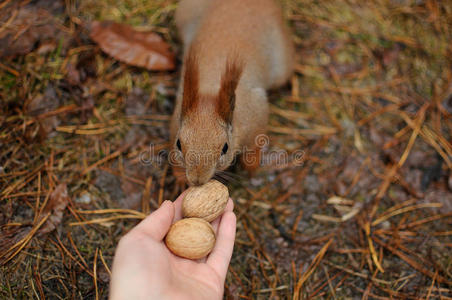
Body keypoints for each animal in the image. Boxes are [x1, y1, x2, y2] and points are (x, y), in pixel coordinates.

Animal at [170, 0, 294, 185]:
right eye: (179, 144)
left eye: (225, 148)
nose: (197, 180)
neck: (211, 89)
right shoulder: (175, 121)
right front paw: (180, 178)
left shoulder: (256, 117)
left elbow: (255, 147)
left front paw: (252, 167)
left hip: (282, 63)